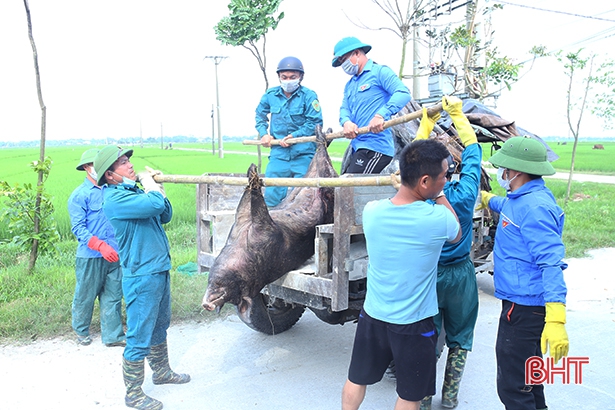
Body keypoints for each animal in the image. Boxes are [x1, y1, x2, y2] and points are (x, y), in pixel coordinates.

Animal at [201, 123, 336, 322]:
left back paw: (322, 131)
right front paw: (252, 172)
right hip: (322, 177)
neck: (243, 246)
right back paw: (323, 132)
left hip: (327, 182)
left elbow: (249, 203)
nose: (207, 305)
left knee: (321, 154)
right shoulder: (250, 226)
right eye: (232, 296)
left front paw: (252, 172)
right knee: (320, 155)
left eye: (230, 291)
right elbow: (248, 205)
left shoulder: (258, 226)